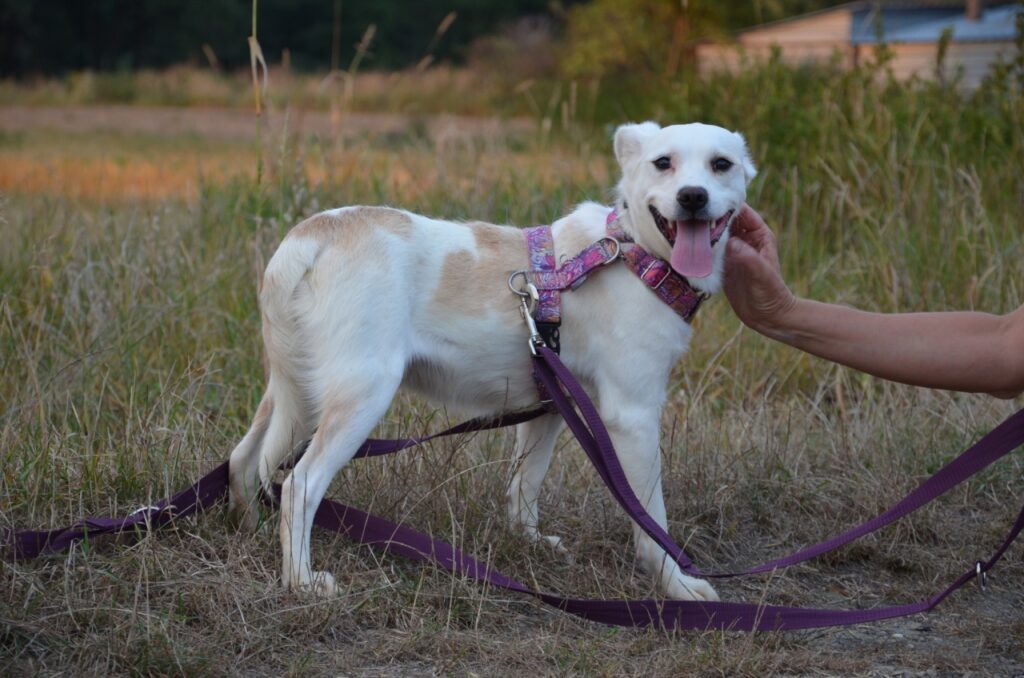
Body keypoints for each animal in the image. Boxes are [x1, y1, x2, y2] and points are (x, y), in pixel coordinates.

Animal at [226, 119, 753, 602]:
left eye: (721, 165)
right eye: (663, 163)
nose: (692, 197)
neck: (634, 254)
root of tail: (314, 235)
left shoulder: (548, 408)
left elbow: (525, 485)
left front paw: (528, 543)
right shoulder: (634, 418)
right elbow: (651, 521)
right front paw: (678, 585)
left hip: (293, 396)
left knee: (243, 460)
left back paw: (248, 532)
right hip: (360, 397)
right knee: (299, 485)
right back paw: (301, 582)